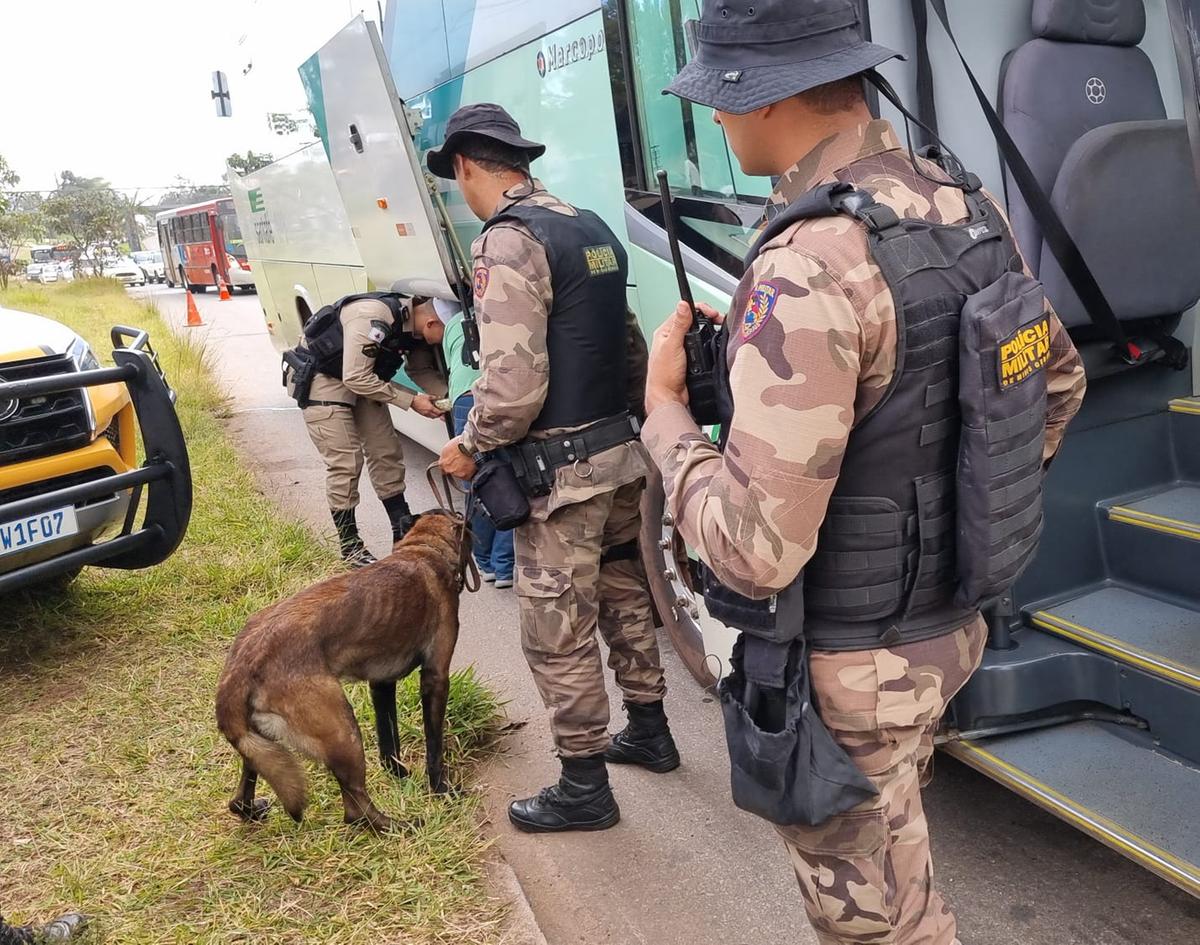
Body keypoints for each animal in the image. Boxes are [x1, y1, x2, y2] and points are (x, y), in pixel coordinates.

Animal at [216, 508, 468, 825]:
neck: (423, 550)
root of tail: (241, 665)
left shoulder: (382, 684)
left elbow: (389, 740)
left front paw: (397, 773)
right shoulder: (436, 678)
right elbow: (434, 746)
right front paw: (441, 790)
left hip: (261, 742)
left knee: (239, 796)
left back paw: (251, 810)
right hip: (343, 731)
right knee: (355, 809)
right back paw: (403, 825)